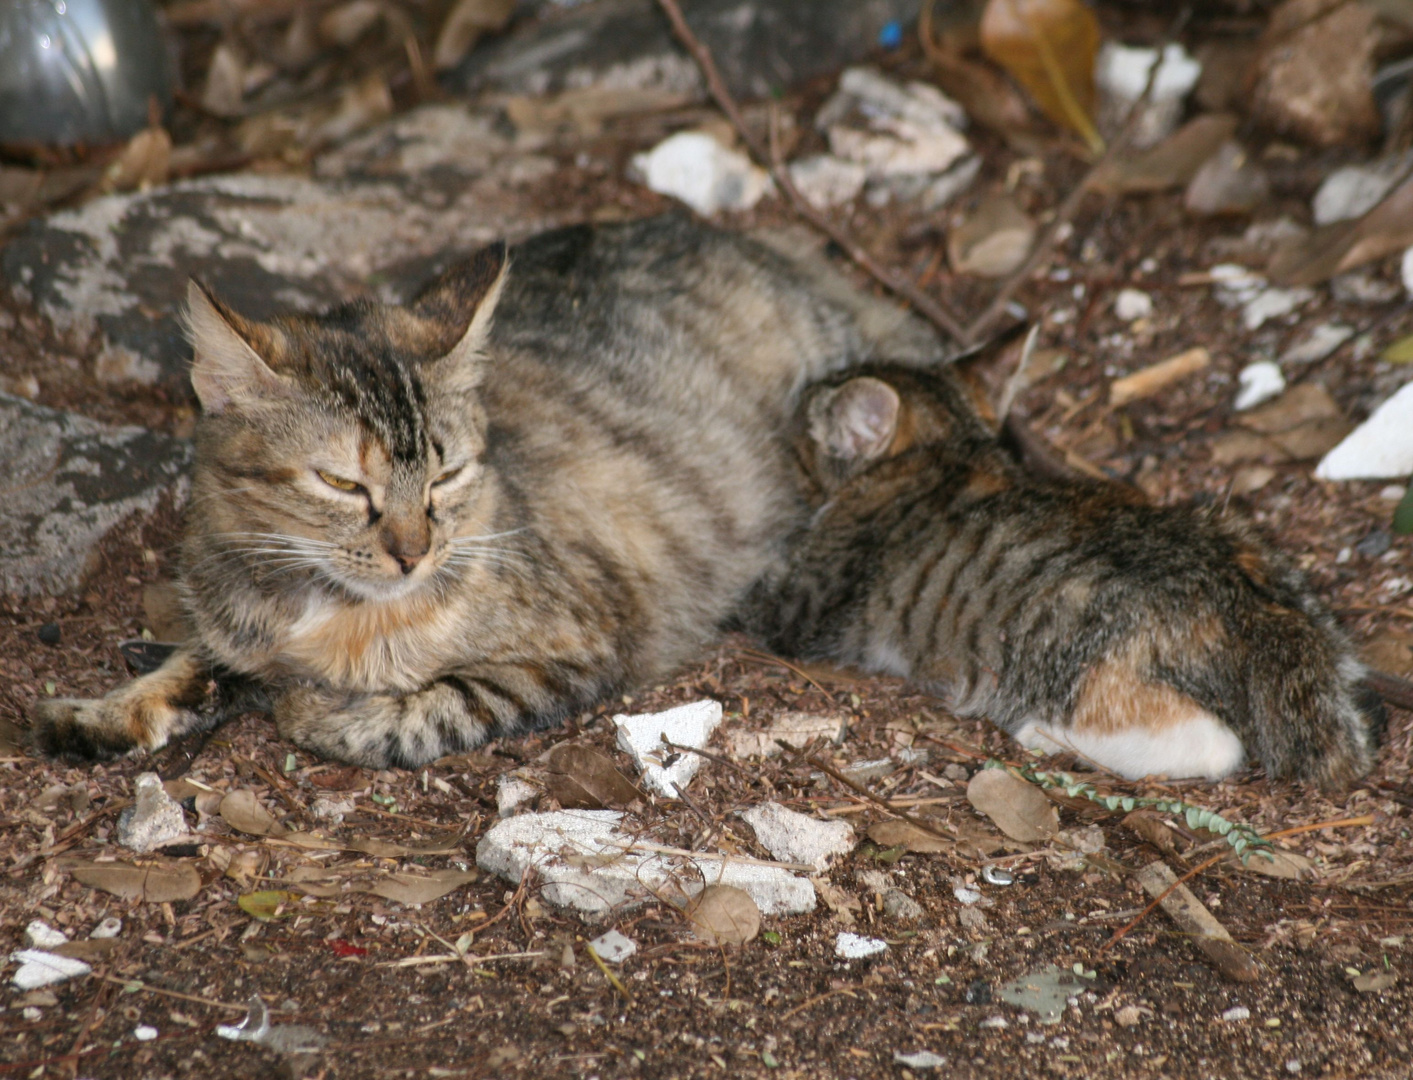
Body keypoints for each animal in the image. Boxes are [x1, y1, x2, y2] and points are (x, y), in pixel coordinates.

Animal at [33, 214, 938, 769]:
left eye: (447, 474)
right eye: (341, 482)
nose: (412, 552)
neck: (325, 611)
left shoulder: (573, 651)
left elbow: (422, 710)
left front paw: (315, 708)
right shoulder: (234, 626)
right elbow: (193, 662)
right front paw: (105, 712)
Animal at [751, 361, 1379, 785]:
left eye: (802, 432)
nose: (792, 408)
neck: (946, 450)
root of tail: (1246, 608)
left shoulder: (807, 608)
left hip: (1079, 658)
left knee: (1212, 746)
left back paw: (1044, 734)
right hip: (1251, 544)